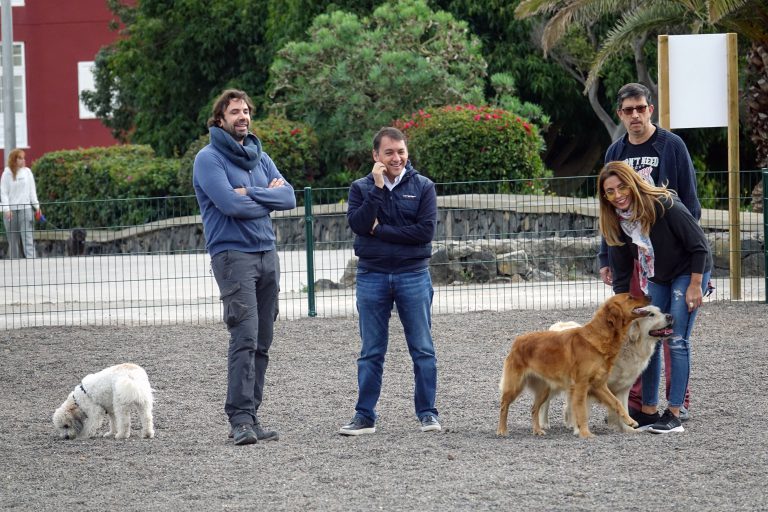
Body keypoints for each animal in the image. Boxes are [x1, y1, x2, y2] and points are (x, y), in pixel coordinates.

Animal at [496, 294, 652, 438]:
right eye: (630, 297)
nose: (649, 296)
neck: (599, 337)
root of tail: (517, 341)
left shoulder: (599, 385)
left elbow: (616, 402)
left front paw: (630, 421)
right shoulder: (581, 385)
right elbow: (582, 411)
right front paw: (585, 433)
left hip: (544, 390)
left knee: (534, 408)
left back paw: (537, 430)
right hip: (515, 386)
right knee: (504, 405)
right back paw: (502, 430)